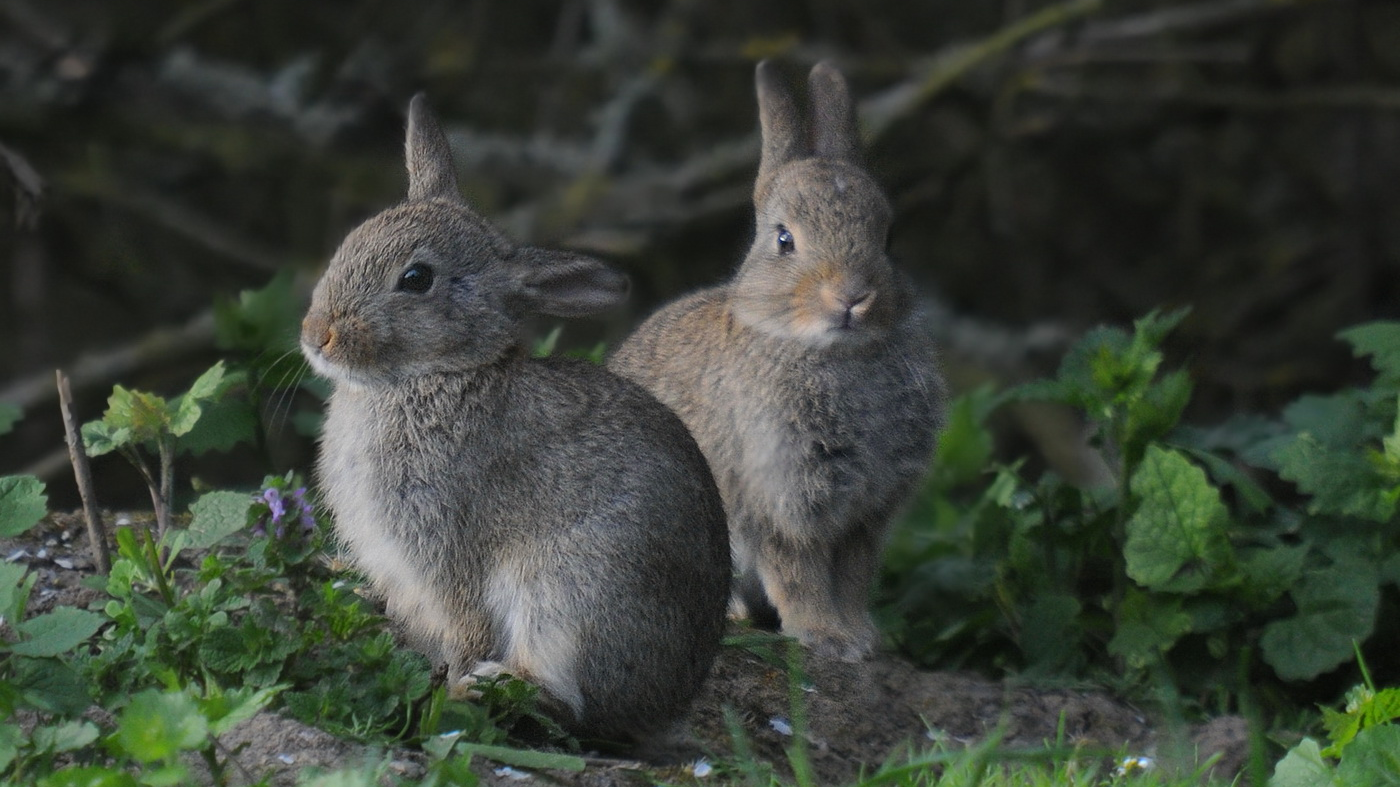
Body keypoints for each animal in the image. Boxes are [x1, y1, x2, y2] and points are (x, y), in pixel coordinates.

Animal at [299, 95, 728, 739]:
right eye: (352, 240)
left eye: (416, 279)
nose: (316, 335)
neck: (437, 374)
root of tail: (661, 705)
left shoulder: (446, 550)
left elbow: (465, 625)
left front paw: (449, 683)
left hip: (567, 597)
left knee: (567, 707)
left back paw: (484, 689)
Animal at [610, 62, 946, 660]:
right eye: (784, 239)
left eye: (888, 237)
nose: (852, 296)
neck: (829, 351)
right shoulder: (778, 498)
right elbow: (797, 573)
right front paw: (826, 638)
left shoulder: (865, 514)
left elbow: (852, 576)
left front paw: (862, 637)